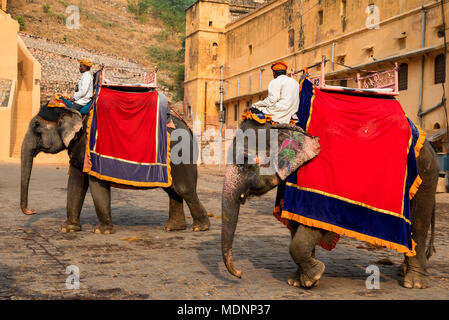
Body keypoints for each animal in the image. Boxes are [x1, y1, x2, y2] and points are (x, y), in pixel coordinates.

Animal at [19, 99, 210, 234]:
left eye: (36, 126)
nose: (32, 211)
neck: (74, 110)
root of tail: (188, 126)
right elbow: (75, 183)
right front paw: (68, 229)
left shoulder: (90, 148)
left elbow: (96, 184)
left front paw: (101, 231)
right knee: (172, 191)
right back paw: (172, 228)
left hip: (181, 156)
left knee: (184, 189)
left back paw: (200, 228)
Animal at [222, 119, 440, 288]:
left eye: (244, 161)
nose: (240, 273)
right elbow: (294, 222)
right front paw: (298, 281)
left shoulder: (319, 176)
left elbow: (315, 222)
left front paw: (314, 276)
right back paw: (403, 272)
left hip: (425, 175)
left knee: (418, 225)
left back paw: (414, 283)